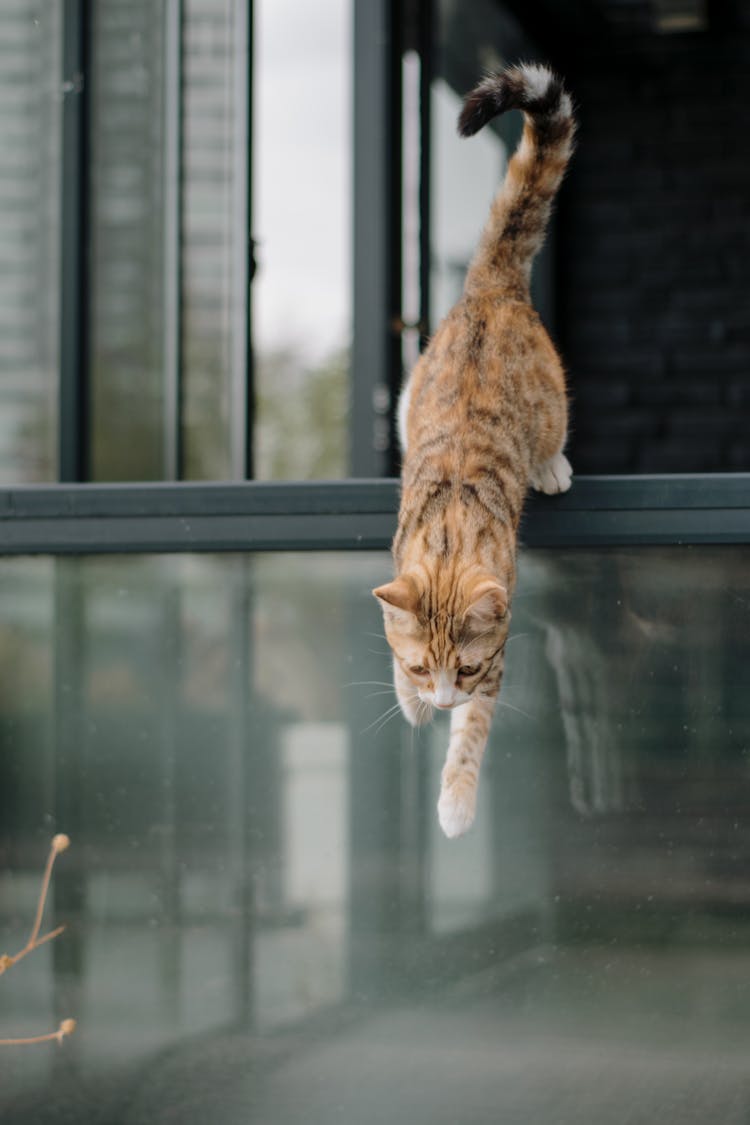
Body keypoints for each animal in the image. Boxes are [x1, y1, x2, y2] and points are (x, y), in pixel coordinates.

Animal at [373, 61, 575, 837]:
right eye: (422, 667)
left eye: (464, 670)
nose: (441, 698)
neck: (452, 538)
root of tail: (491, 289)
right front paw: (409, 704)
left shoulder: (497, 656)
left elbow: (475, 735)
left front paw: (456, 803)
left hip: (551, 401)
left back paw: (552, 465)